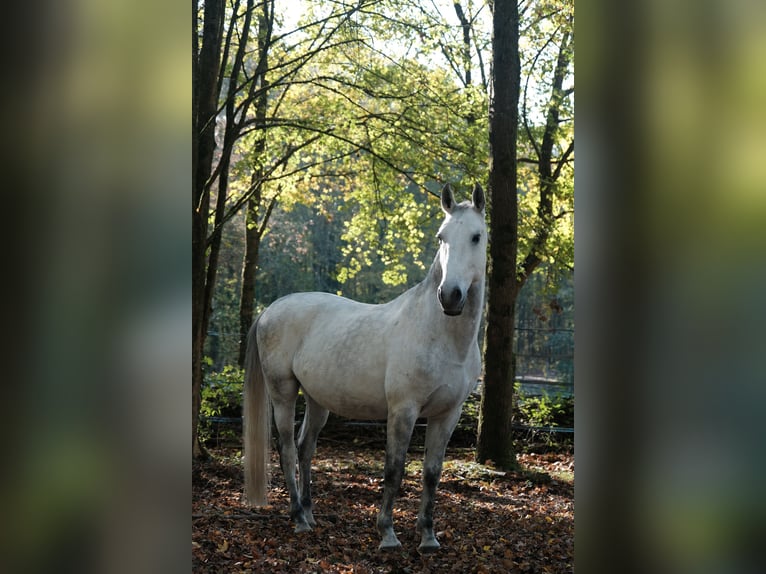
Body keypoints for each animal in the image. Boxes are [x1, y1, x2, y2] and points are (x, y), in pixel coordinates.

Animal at [243, 183, 488, 552]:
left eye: (476, 236)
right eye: (441, 237)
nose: (450, 296)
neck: (439, 335)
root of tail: (271, 309)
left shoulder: (448, 414)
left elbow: (431, 473)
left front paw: (428, 537)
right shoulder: (403, 411)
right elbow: (394, 469)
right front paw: (387, 534)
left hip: (318, 400)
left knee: (304, 447)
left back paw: (310, 514)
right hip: (283, 393)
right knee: (286, 448)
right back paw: (298, 518)